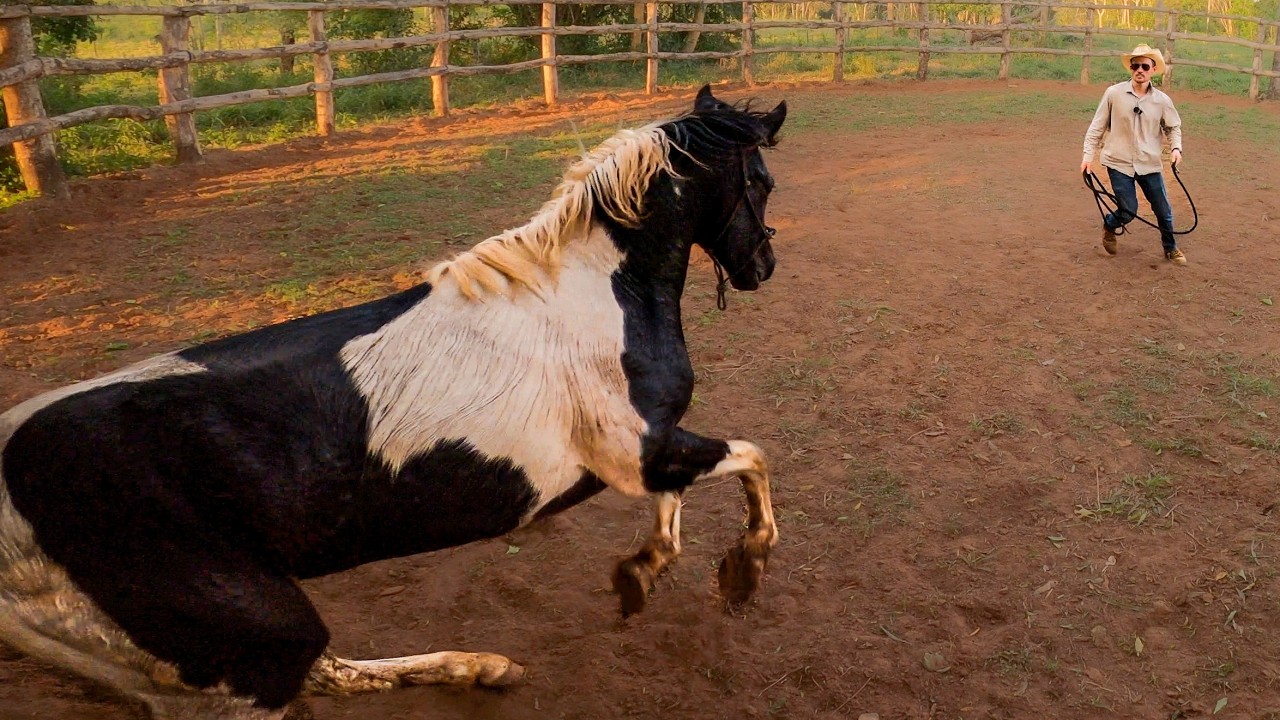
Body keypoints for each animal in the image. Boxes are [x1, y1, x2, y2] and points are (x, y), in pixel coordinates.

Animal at [0, 84, 787, 719]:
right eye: (762, 180)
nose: (761, 266)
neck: (593, 294)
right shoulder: (638, 453)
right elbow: (752, 459)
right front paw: (739, 573)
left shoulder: (653, 448)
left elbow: (680, 503)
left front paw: (641, 573)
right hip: (254, 648)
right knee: (314, 672)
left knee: (332, 671)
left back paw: (483, 668)